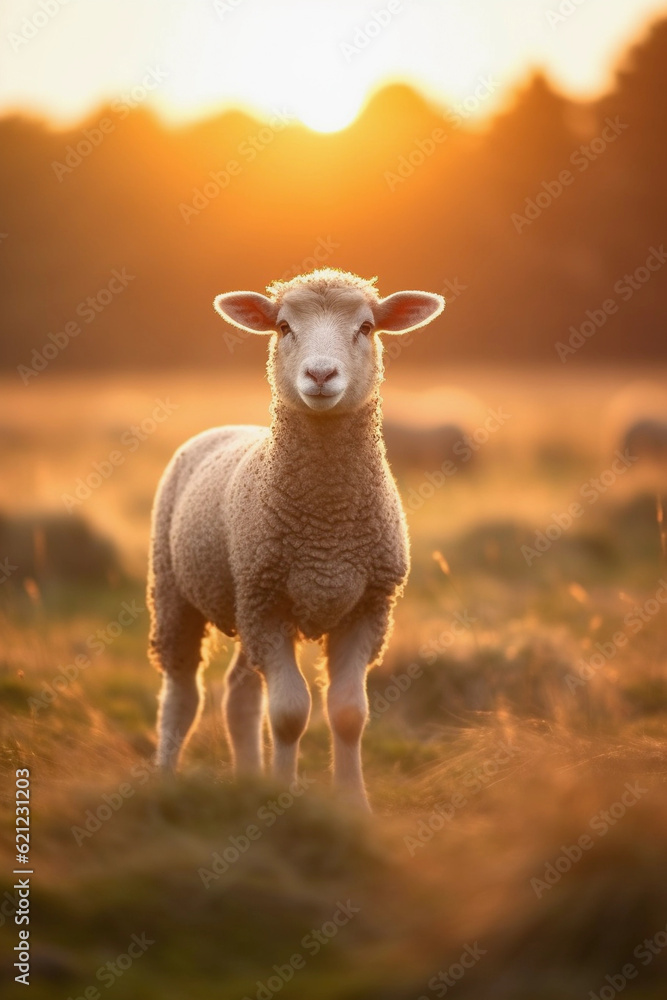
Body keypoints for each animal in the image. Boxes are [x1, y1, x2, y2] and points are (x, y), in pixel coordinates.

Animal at [148, 268, 444, 808]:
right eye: (284, 327)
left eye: (366, 327)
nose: (321, 375)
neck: (326, 530)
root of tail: (228, 427)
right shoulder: (269, 606)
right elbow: (288, 713)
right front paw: (283, 796)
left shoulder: (368, 607)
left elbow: (348, 714)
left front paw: (353, 805)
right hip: (179, 590)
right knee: (182, 694)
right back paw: (165, 780)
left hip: (244, 602)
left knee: (239, 693)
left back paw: (248, 779)